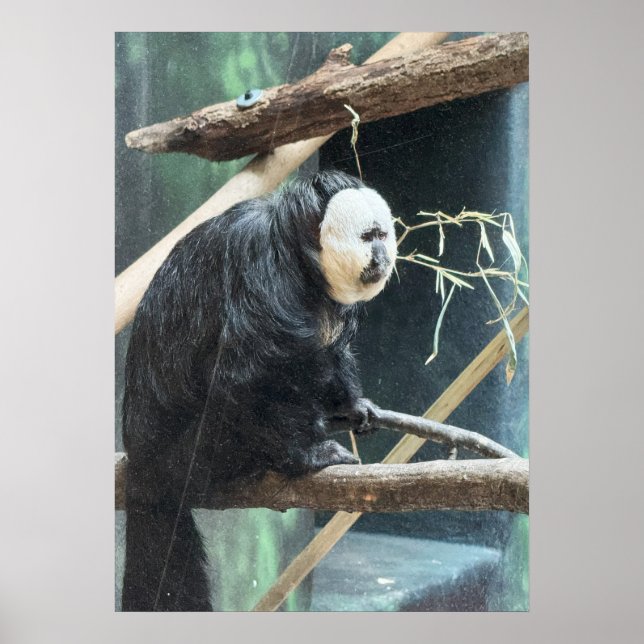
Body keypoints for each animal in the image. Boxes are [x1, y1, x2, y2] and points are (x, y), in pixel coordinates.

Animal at [120, 170, 397, 611]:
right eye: (369, 236)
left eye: (383, 235)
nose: (383, 255)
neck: (299, 258)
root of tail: (142, 460)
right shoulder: (259, 266)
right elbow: (247, 373)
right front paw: (308, 455)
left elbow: (330, 352)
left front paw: (353, 405)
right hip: (191, 452)